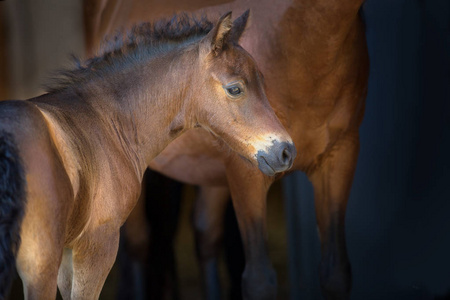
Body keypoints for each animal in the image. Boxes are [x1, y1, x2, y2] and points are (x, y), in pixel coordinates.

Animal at [0, 11, 296, 300]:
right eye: (235, 88)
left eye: (263, 82)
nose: (286, 151)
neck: (102, 120)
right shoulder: (96, 247)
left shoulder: (69, 254)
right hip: (40, 266)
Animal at [84, 0, 370, 300]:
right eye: (235, 89)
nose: (287, 153)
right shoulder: (246, 170)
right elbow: (259, 281)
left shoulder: (341, 155)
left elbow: (335, 273)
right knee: (139, 242)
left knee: (205, 233)